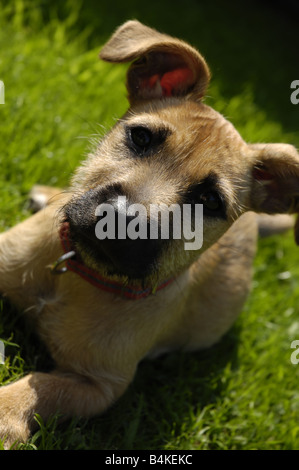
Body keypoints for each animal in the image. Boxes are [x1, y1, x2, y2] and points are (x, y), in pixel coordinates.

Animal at [0, 21, 299, 448]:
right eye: (141, 137)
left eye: (210, 201)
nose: (121, 220)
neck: (77, 275)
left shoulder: (99, 386)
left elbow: (42, 385)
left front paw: (5, 412)